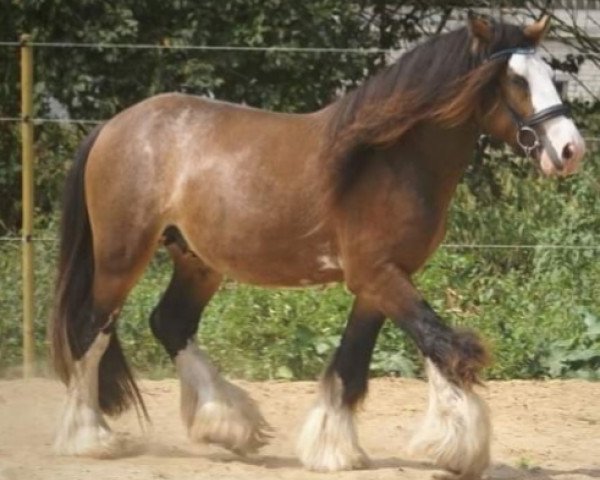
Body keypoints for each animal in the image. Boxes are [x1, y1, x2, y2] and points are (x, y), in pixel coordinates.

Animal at [51, 15, 584, 480]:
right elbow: (444, 345)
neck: (387, 158)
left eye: (548, 75)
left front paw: (334, 449)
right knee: (90, 331)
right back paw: (90, 437)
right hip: (121, 258)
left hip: (197, 261)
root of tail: (112, 127)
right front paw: (458, 449)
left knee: (169, 323)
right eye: (513, 80)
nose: (571, 150)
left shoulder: (379, 284)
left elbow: (354, 363)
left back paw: (229, 424)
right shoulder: (379, 275)